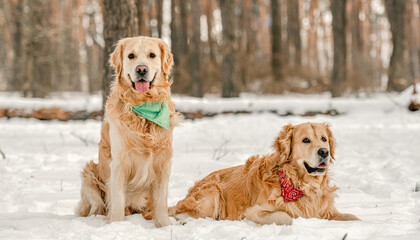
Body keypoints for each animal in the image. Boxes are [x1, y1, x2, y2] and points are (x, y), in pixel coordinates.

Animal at [77, 36, 182, 227]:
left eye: (152, 55)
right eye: (131, 56)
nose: (141, 69)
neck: (144, 107)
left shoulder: (163, 161)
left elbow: (161, 201)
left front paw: (164, 225)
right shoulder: (119, 163)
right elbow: (118, 200)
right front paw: (117, 225)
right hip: (89, 173)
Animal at [169, 123, 360, 226]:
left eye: (324, 139)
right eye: (306, 140)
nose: (324, 152)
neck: (298, 184)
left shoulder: (326, 211)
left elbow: (354, 217)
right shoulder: (253, 211)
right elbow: (286, 216)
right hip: (211, 192)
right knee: (181, 212)